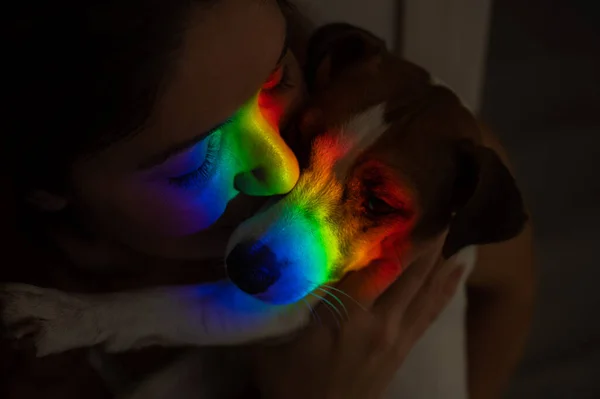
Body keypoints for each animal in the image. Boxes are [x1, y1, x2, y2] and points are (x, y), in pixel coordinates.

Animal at [0, 23, 524, 398]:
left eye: (380, 203)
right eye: (295, 139)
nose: (244, 268)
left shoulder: (291, 306)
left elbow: (161, 304)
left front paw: (63, 315)